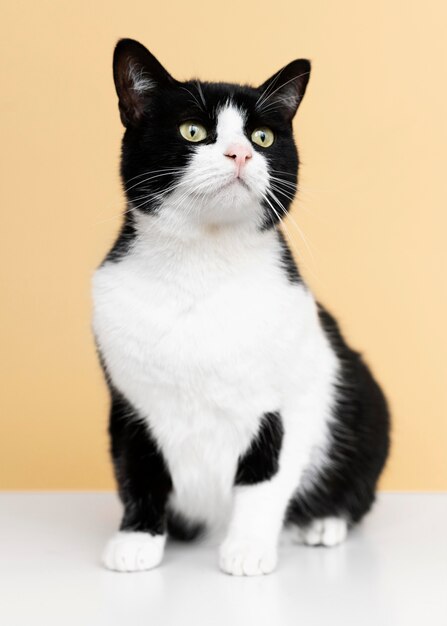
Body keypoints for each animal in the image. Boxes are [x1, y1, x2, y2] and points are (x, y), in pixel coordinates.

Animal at [93, 37, 390, 576]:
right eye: (193, 130)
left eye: (263, 136)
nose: (240, 152)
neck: (202, 269)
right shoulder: (129, 401)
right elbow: (136, 470)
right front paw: (137, 538)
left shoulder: (294, 396)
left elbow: (265, 478)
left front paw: (249, 548)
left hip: (369, 403)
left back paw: (322, 523)